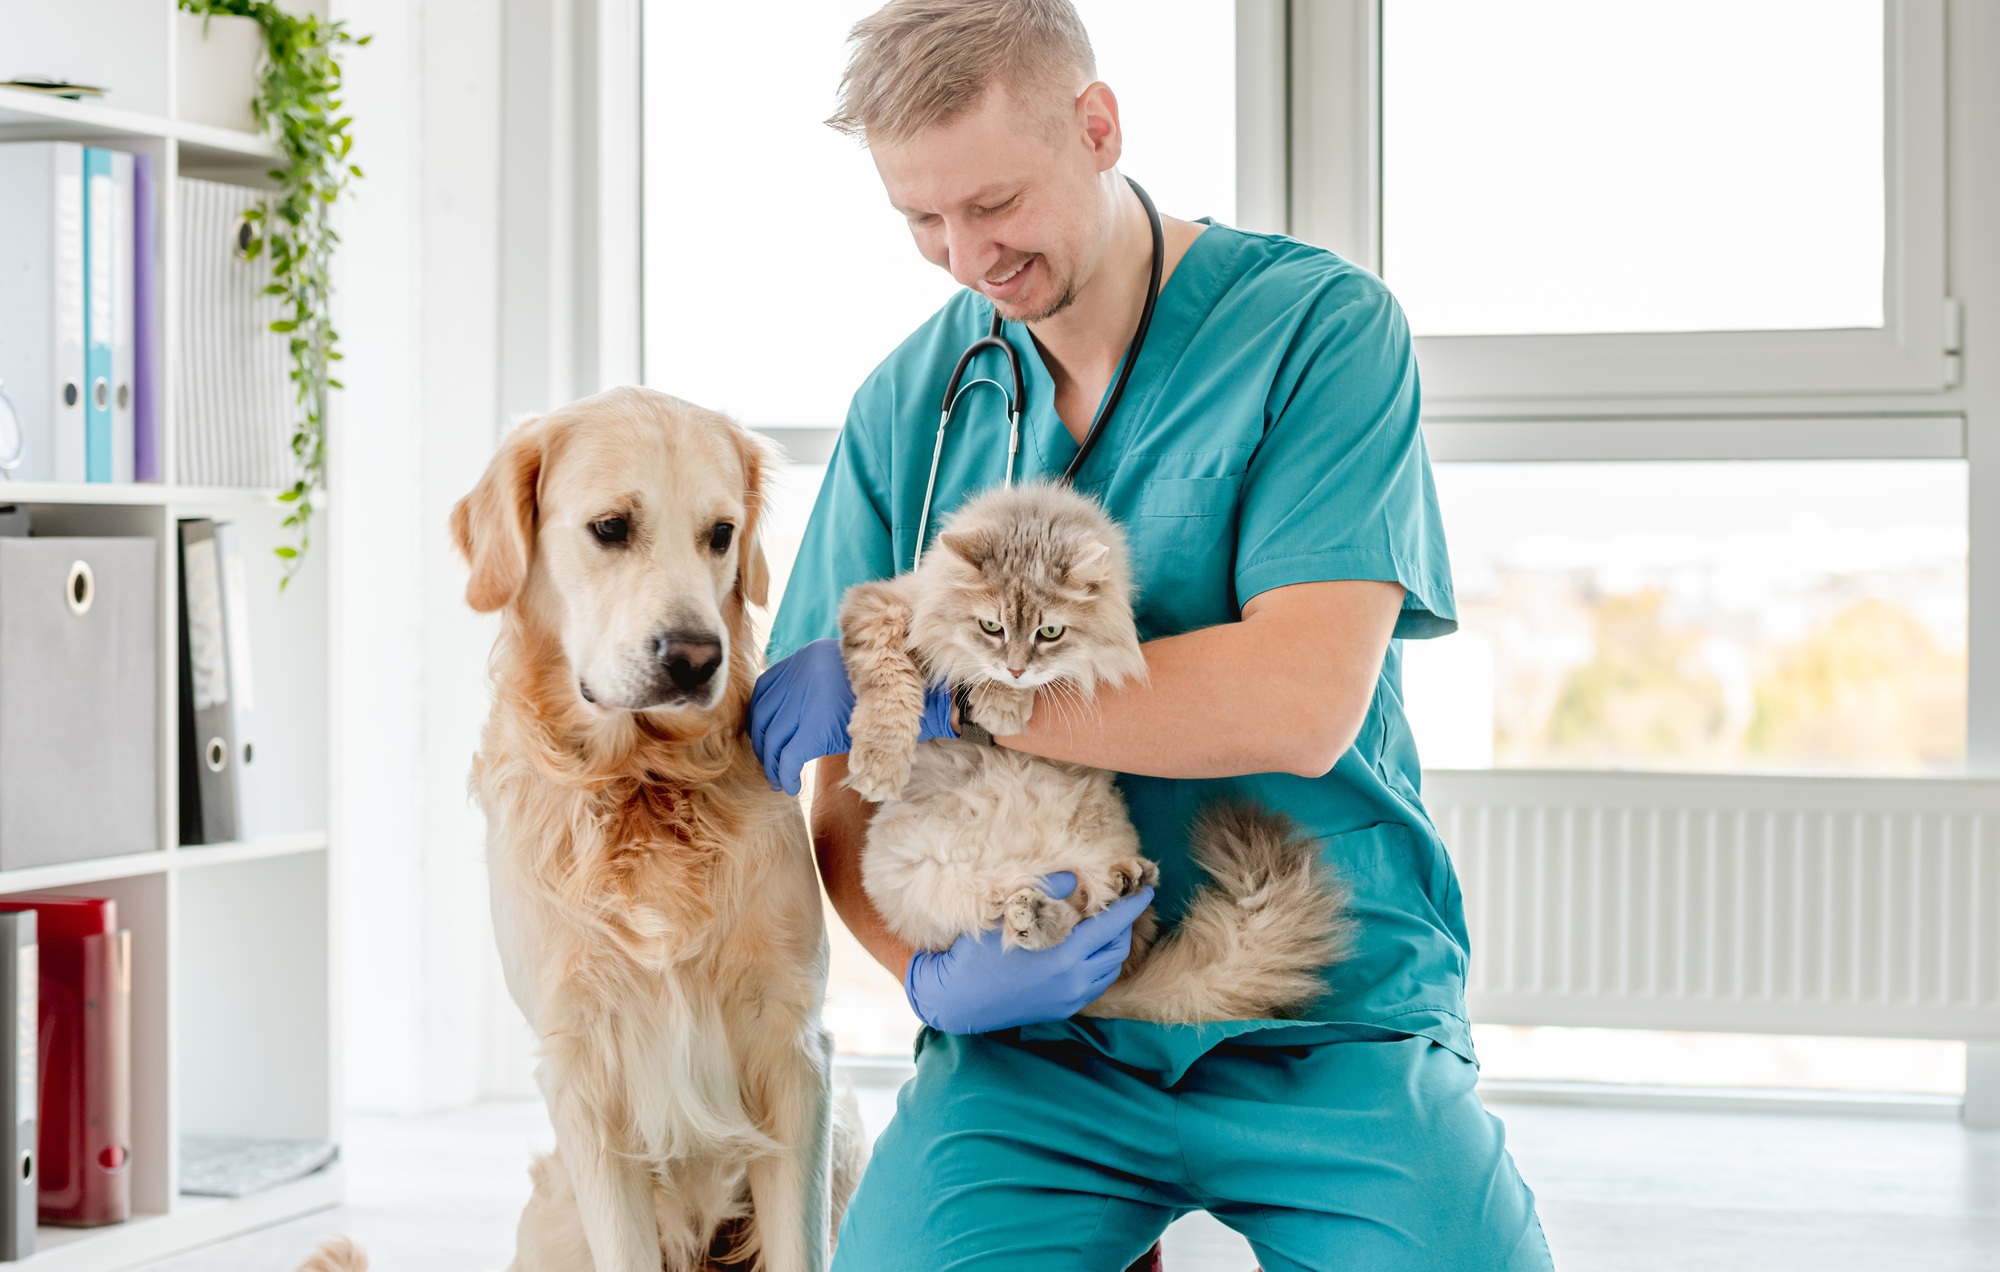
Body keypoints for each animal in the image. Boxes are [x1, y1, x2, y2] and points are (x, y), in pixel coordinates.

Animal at [836, 480, 1352, 1024]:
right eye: (991, 627)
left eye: (1049, 632)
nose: (1016, 670)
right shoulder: (883, 605)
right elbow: (891, 683)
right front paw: (880, 764)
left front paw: (1003, 703)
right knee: (1026, 925)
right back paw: (1052, 913)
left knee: (1089, 920)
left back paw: (1107, 888)